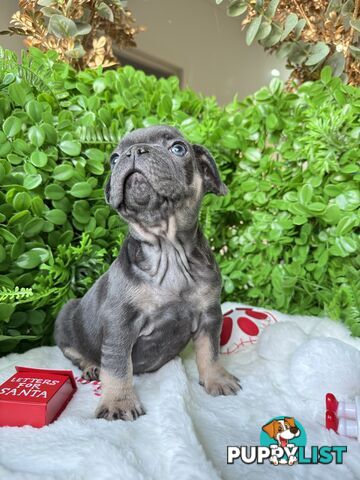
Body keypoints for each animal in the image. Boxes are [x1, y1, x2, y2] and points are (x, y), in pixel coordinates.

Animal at [54, 125, 240, 422]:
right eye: (114, 159)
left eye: (178, 148)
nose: (133, 152)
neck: (168, 249)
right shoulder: (119, 325)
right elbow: (118, 368)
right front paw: (119, 402)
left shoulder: (209, 315)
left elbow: (210, 351)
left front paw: (216, 379)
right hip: (67, 318)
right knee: (76, 352)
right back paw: (92, 366)